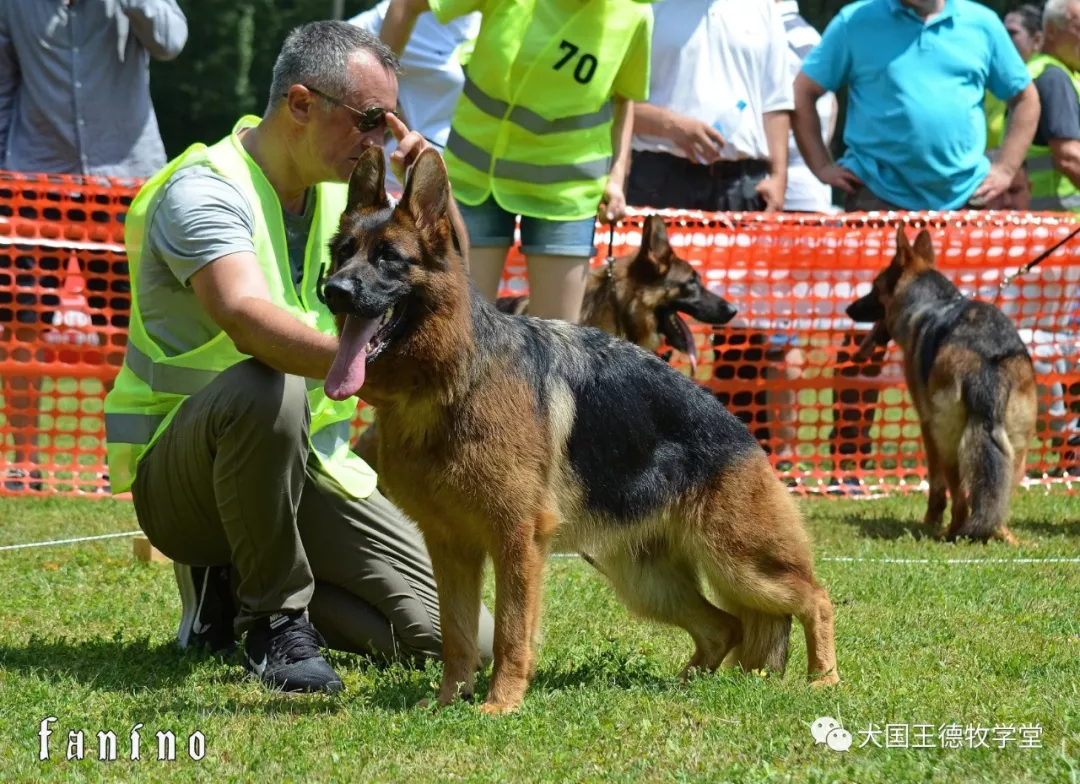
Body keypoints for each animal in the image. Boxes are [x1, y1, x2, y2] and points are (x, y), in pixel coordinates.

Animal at [842, 225, 1036, 546]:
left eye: (874, 287)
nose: (848, 309)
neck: (931, 302)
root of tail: (984, 355)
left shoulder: (926, 425)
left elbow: (935, 484)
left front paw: (931, 519)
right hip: (1015, 446)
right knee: (998, 495)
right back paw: (1001, 534)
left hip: (948, 441)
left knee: (960, 497)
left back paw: (951, 532)